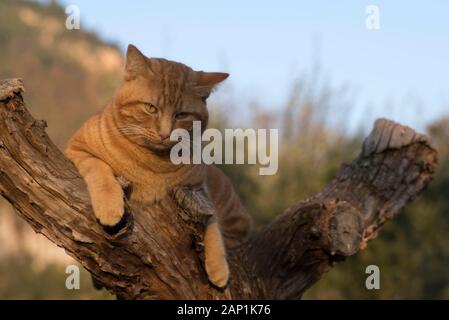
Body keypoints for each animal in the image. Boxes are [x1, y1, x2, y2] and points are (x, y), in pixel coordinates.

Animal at [65, 44, 252, 288]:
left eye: (182, 114)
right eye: (150, 108)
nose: (165, 133)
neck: (155, 163)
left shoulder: (198, 190)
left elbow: (213, 225)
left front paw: (218, 268)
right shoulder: (77, 149)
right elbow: (100, 170)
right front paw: (110, 208)